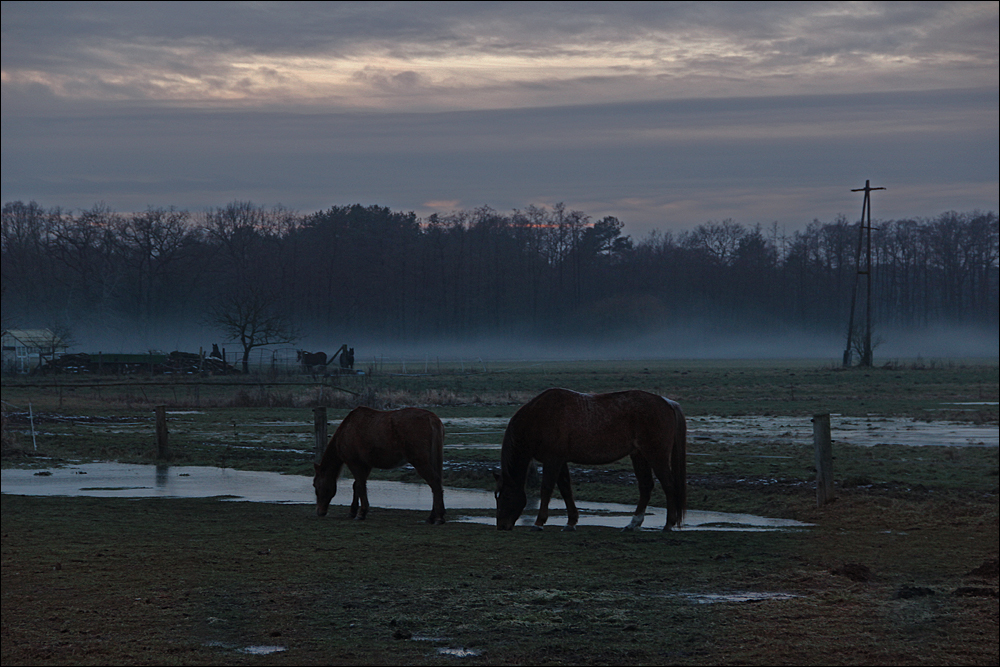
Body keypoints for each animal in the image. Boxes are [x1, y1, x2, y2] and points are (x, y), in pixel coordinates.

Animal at [312, 404, 446, 524]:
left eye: (316, 485)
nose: (319, 512)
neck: (347, 430)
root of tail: (432, 419)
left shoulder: (354, 463)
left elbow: (360, 486)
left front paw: (361, 513)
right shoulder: (366, 465)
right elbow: (357, 486)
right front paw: (353, 512)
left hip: (421, 462)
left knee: (434, 483)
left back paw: (438, 518)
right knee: (437, 484)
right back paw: (432, 517)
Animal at [494, 386, 684, 532]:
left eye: (505, 497)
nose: (502, 526)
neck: (539, 417)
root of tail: (667, 403)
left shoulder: (553, 460)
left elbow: (546, 488)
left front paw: (539, 523)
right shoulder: (560, 460)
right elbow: (565, 488)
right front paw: (571, 522)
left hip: (656, 455)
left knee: (668, 485)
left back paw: (668, 524)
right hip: (639, 455)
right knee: (646, 486)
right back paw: (632, 524)